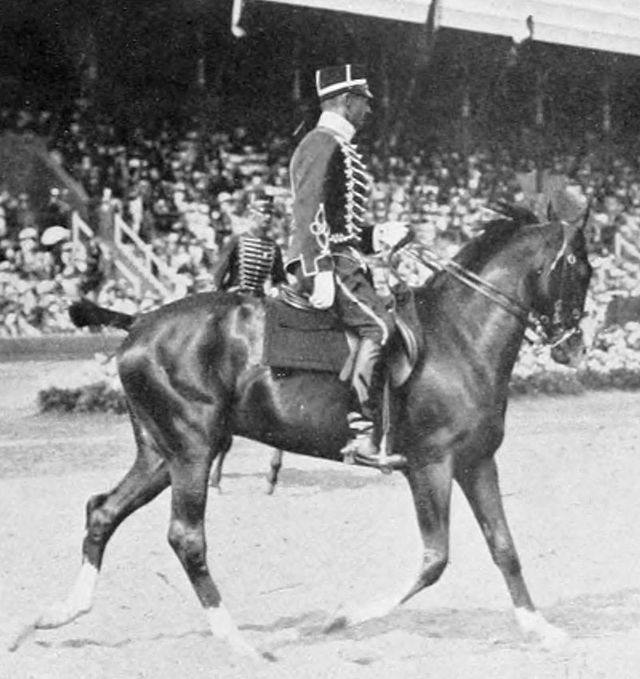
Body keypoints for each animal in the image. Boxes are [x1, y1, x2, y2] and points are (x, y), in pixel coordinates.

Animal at [25, 210, 592, 660]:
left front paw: (538, 627)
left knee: (103, 510)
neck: (459, 336)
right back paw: (236, 641)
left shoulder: (477, 462)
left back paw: (60, 613)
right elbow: (435, 560)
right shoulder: (430, 465)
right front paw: (340, 618)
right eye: (581, 270)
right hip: (191, 448)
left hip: (160, 453)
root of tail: (140, 321)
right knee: (185, 536)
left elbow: (504, 546)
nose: (574, 349)